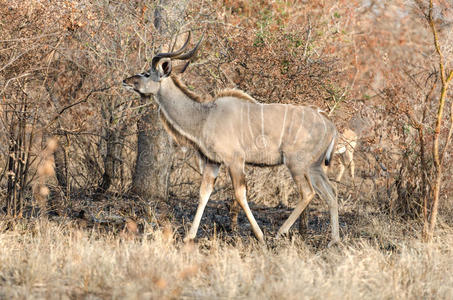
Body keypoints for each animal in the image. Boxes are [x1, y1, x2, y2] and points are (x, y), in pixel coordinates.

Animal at [123, 32, 340, 244]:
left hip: (296, 163)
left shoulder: (234, 160)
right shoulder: (212, 162)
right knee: (331, 194)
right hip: (314, 167)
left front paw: (260, 236)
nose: (126, 81)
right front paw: (189, 236)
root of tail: (330, 124)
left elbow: (240, 194)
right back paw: (334, 241)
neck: (205, 116)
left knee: (308, 193)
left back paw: (280, 233)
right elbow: (203, 194)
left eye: (146, 73)